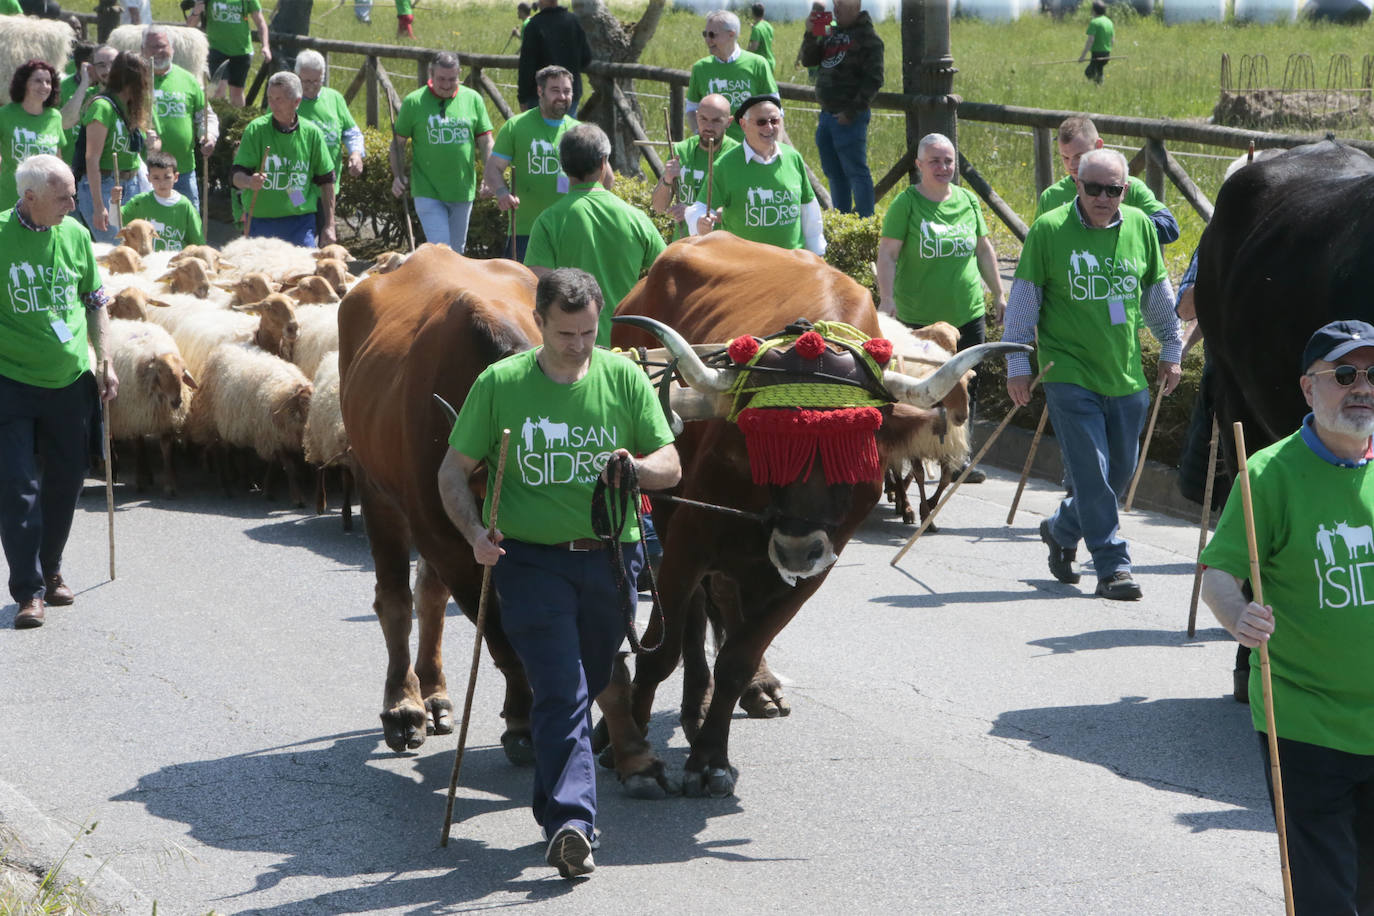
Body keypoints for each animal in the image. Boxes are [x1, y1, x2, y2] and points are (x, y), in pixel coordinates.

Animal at [105, 318, 196, 497]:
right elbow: (139, 446)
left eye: (183, 372)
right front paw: (140, 481)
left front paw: (170, 485)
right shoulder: (134, 418)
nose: (177, 402)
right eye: (160, 371)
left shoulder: (166, 420)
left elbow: (166, 449)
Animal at [185, 343, 314, 505]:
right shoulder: (274, 437)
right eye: (303, 403)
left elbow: (274, 466)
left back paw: (246, 482)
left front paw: (267, 490)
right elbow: (290, 468)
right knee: (219, 454)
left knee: (239, 452)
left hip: (239, 426)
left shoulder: (274, 438)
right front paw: (298, 499)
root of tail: (224, 347)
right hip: (213, 422)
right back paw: (225, 487)